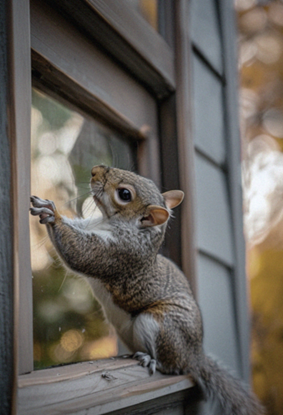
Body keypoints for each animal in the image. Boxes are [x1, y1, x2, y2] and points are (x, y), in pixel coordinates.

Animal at [30, 164, 266, 414]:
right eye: (147, 180)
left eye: (125, 194)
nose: (95, 171)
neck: (122, 225)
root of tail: (195, 356)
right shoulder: (91, 226)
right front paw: (47, 207)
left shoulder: (120, 253)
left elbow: (79, 252)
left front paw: (53, 215)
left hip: (159, 324)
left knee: (172, 365)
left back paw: (152, 360)